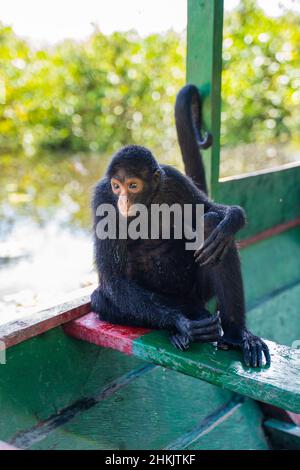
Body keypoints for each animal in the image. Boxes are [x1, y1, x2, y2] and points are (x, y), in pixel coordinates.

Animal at [90, 85, 270, 370]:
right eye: (117, 187)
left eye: (133, 185)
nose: (123, 200)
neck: (147, 203)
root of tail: (189, 302)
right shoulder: (103, 199)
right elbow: (113, 279)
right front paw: (180, 325)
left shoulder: (173, 179)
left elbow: (212, 209)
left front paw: (231, 220)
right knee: (101, 299)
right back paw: (181, 330)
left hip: (198, 290)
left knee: (210, 225)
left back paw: (237, 335)